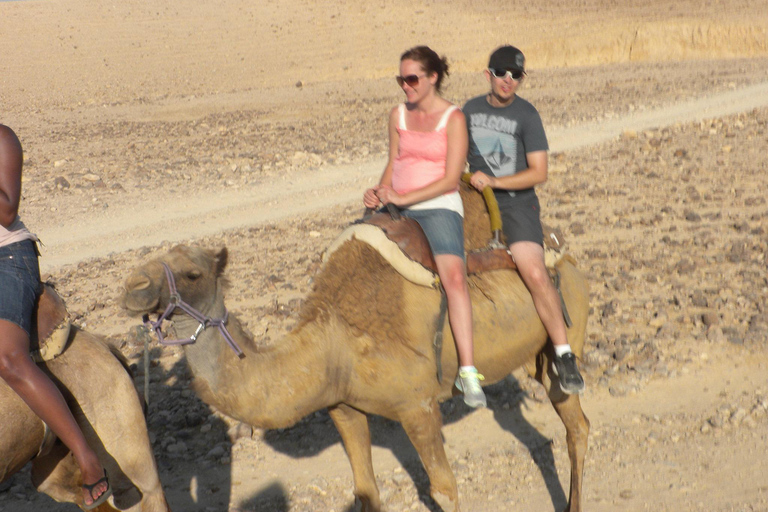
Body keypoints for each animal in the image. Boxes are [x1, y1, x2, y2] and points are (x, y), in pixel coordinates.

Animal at [121, 188, 588, 512]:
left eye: (192, 273)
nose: (131, 286)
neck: (334, 342)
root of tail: (559, 246)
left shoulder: (417, 406)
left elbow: (444, 488)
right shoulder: (342, 406)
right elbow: (366, 491)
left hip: (566, 329)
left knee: (576, 424)